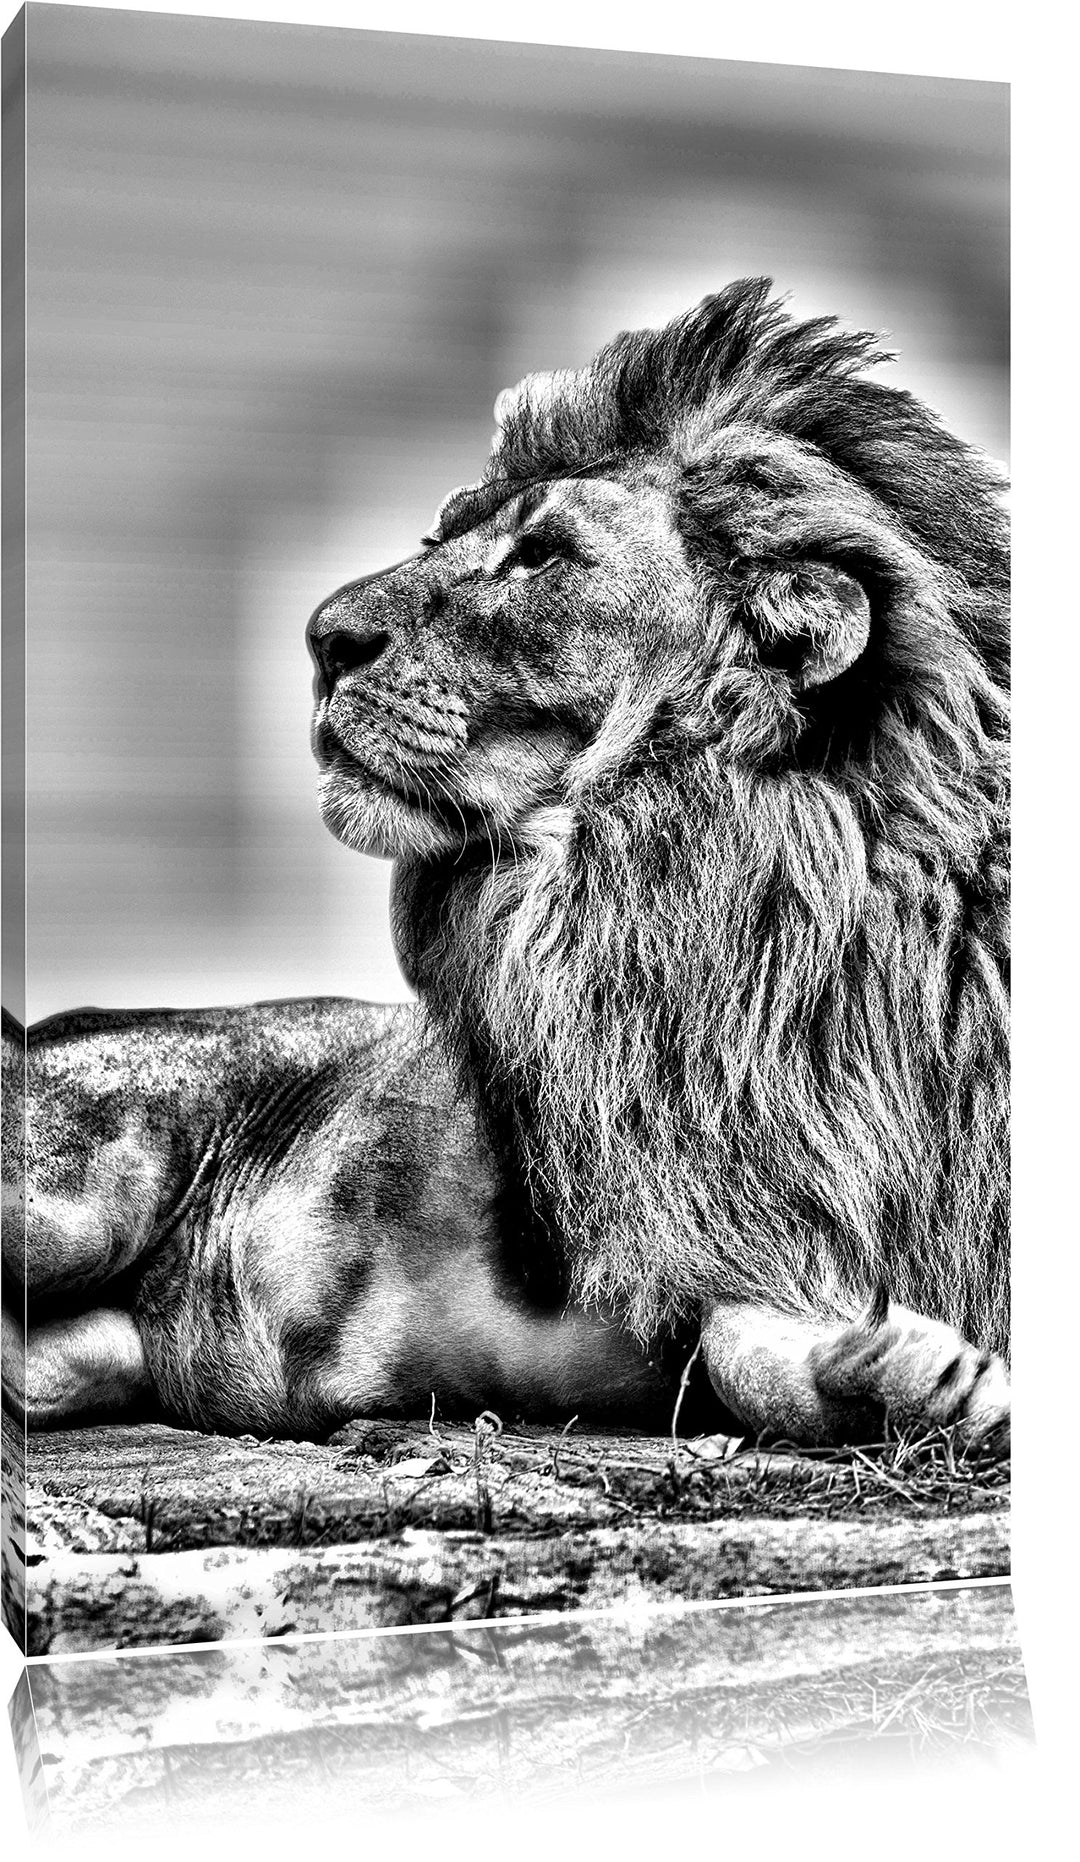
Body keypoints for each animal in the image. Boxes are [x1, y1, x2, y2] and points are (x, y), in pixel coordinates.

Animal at [3, 280, 1009, 1452]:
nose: (322, 638)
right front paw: (909, 1371)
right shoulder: (680, 1229)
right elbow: (746, 1343)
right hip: (75, 1188)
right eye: (440, 535)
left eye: (541, 555)